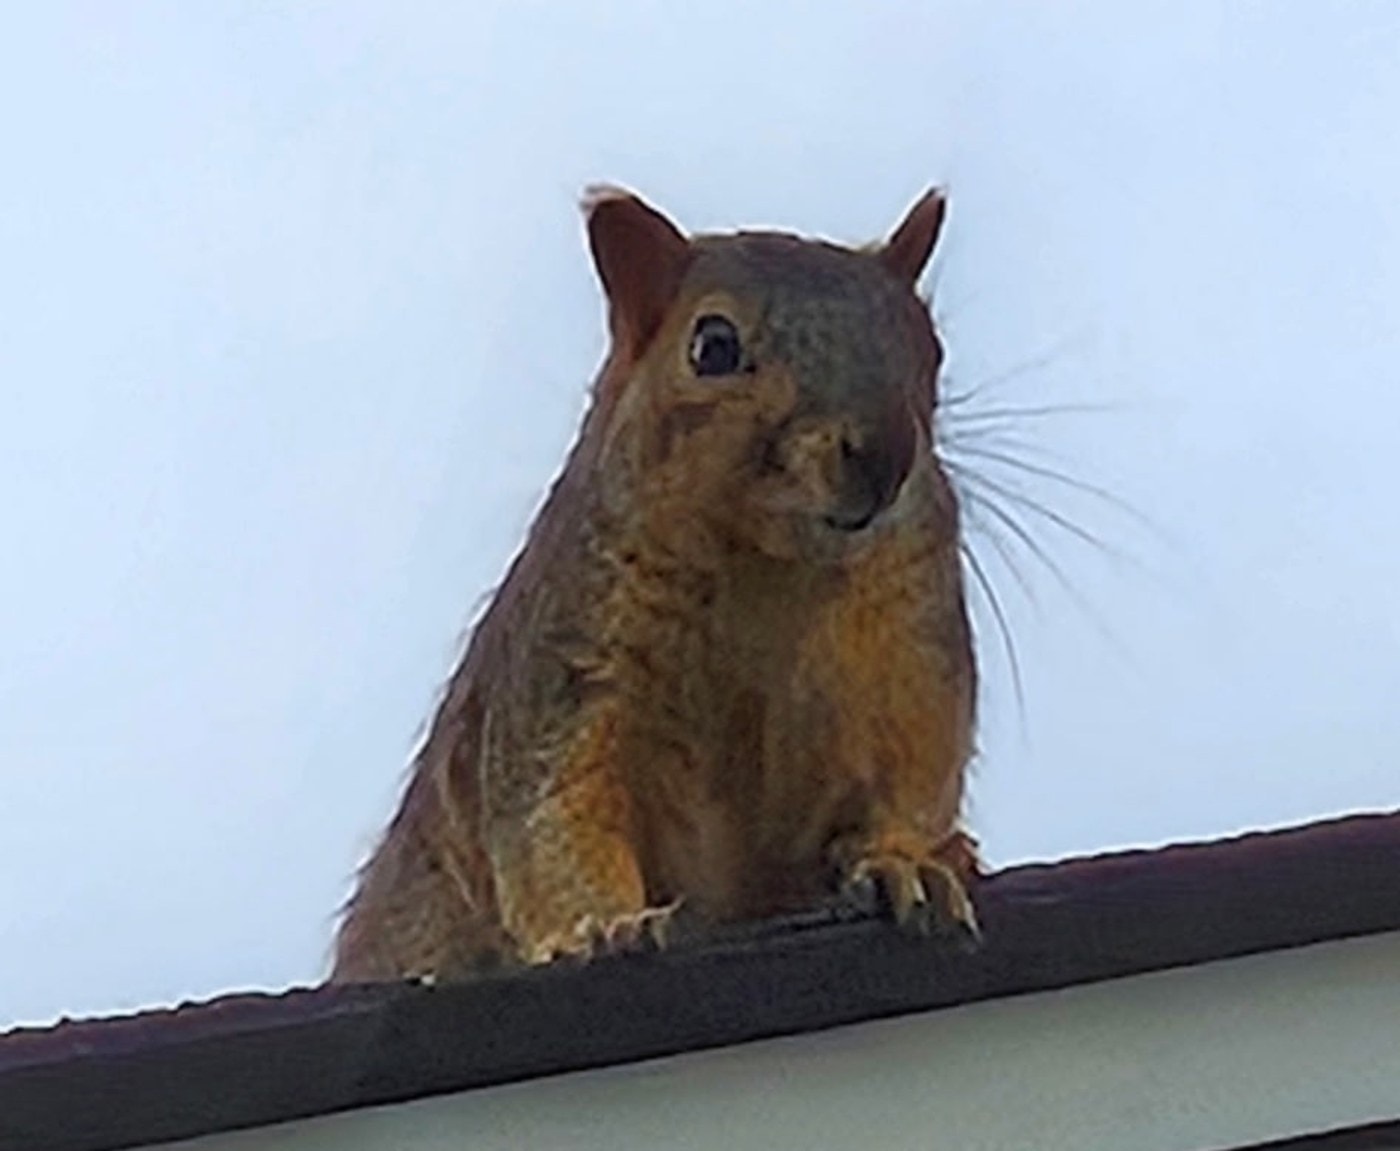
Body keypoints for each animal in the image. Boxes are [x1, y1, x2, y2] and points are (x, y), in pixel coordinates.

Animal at [331, 186, 980, 981]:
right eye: (712, 347)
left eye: (931, 347)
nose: (886, 458)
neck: (769, 571)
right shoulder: (569, 676)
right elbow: (556, 816)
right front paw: (606, 927)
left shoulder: (913, 655)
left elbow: (912, 777)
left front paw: (904, 862)